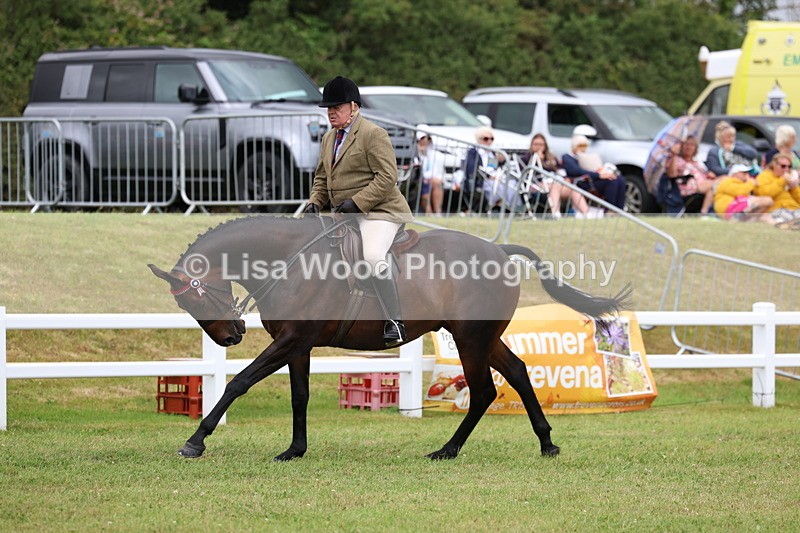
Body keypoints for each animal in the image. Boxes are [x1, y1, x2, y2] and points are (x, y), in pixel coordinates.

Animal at [149, 215, 628, 461]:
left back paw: (447, 450)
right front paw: (295, 450)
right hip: (482, 339)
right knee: (518, 372)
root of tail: (499, 251)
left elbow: (238, 382)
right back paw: (546, 443)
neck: (288, 260)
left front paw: (196, 440)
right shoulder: (297, 344)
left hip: (470, 341)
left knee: (484, 391)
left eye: (195, 300)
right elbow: (299, 396)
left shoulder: (288, 341)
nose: (231, 336)